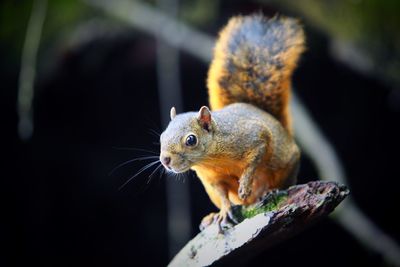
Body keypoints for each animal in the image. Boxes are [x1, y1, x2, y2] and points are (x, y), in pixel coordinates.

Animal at [158, 14, 304, 230]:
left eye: (191, 140)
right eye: (162, 136)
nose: (165, 160)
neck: (212, 159)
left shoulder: (253, 136)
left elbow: (254, 160)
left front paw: (244, 185)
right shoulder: (213, 180)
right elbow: (222, 194)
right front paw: (225, 211)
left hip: (286, 164)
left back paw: (269, 191)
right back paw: (212, 216)